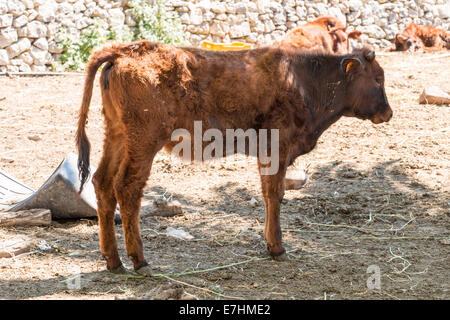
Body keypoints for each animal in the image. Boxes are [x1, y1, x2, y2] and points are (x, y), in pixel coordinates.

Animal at [75, 40, 392, 276]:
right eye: (378, 79)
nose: (388, 113)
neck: (304, 79)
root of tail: (125, 50)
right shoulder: (277, 147)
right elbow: (275, 194)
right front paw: (277, 247)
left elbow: (268, 194)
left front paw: (270, 243)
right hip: (143, 143)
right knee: (127, 189)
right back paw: (139, 260)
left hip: (117, 136)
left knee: (102, 183)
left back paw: (113, 260)